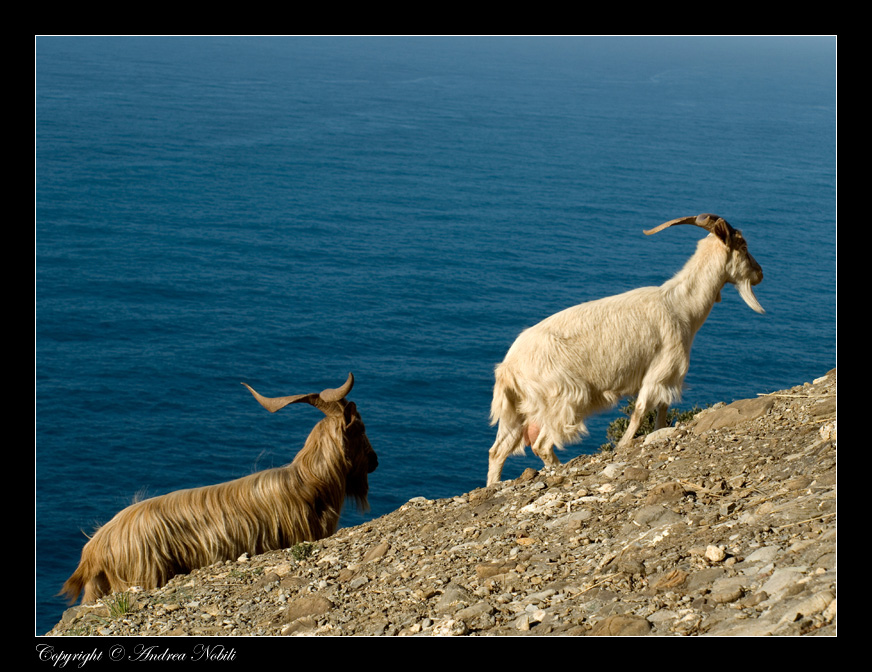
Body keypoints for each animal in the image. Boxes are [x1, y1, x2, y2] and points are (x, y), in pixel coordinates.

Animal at [487, 213, 764, 486]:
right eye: (743, 246)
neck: (681, 305)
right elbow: (640, 412)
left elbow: (661, 411)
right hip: (562, 398)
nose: (760, 273)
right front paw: (624, 445)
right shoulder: (662, 370)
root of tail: (507, 368)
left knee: (497, 450)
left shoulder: (665, 379)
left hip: (516, 410)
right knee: (541, 445)